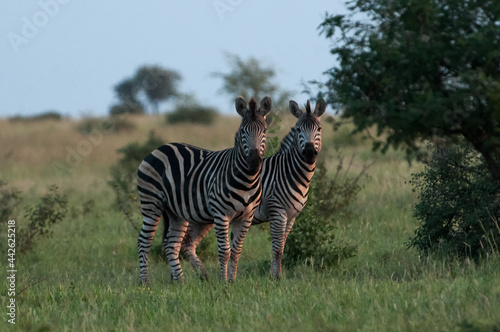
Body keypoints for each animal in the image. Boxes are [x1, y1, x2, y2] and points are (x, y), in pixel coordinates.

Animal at [137, 95, 272, 282]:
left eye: (264, 131)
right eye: (242, 132)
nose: (254, 161)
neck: (247, 180)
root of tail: (160, 148)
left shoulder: (246, 217)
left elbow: (236, 252)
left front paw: (232, 281)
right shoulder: (221, 215)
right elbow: (225, 252)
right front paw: (223, 282)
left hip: (176, 212)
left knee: (171, 243)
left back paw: (181, 282)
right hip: (151, 203)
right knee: (144, 241)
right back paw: (145, 282)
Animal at [182, 99, 326, 280]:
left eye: (319, 129)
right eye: (299, 129)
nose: (309, 152)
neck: (292, 173)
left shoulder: (292, 216)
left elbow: (282, 246)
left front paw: (273, 275)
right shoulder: (277, 211)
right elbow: (277, 249)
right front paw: (276, 278)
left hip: (202, 216)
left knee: (187, 244)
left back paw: (204, 277)